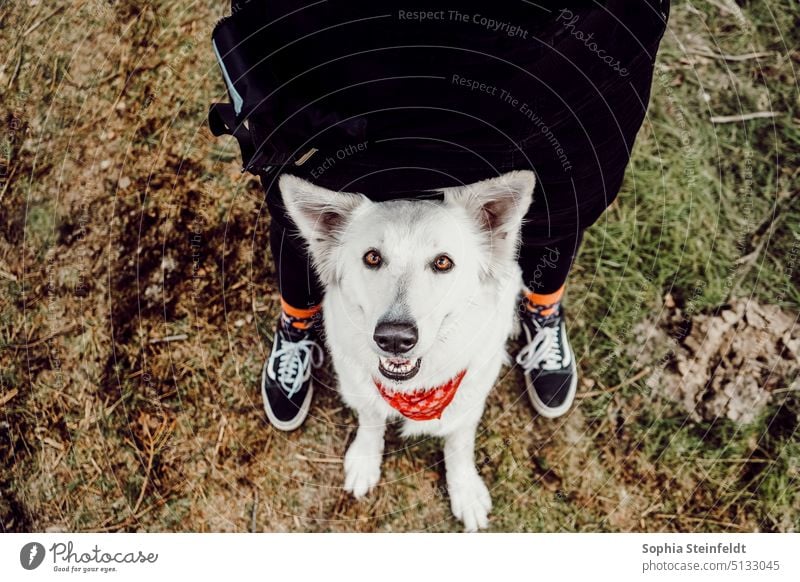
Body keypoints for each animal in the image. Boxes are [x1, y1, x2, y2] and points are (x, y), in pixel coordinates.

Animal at [278, 170, 536, 532]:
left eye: (442, 262)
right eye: (372, 257)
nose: (394, 339)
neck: (415, 390)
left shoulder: (468, 398)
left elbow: (459, 443)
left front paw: (465, 489)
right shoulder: (360, 384)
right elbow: (371, 418)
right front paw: (366, 460)